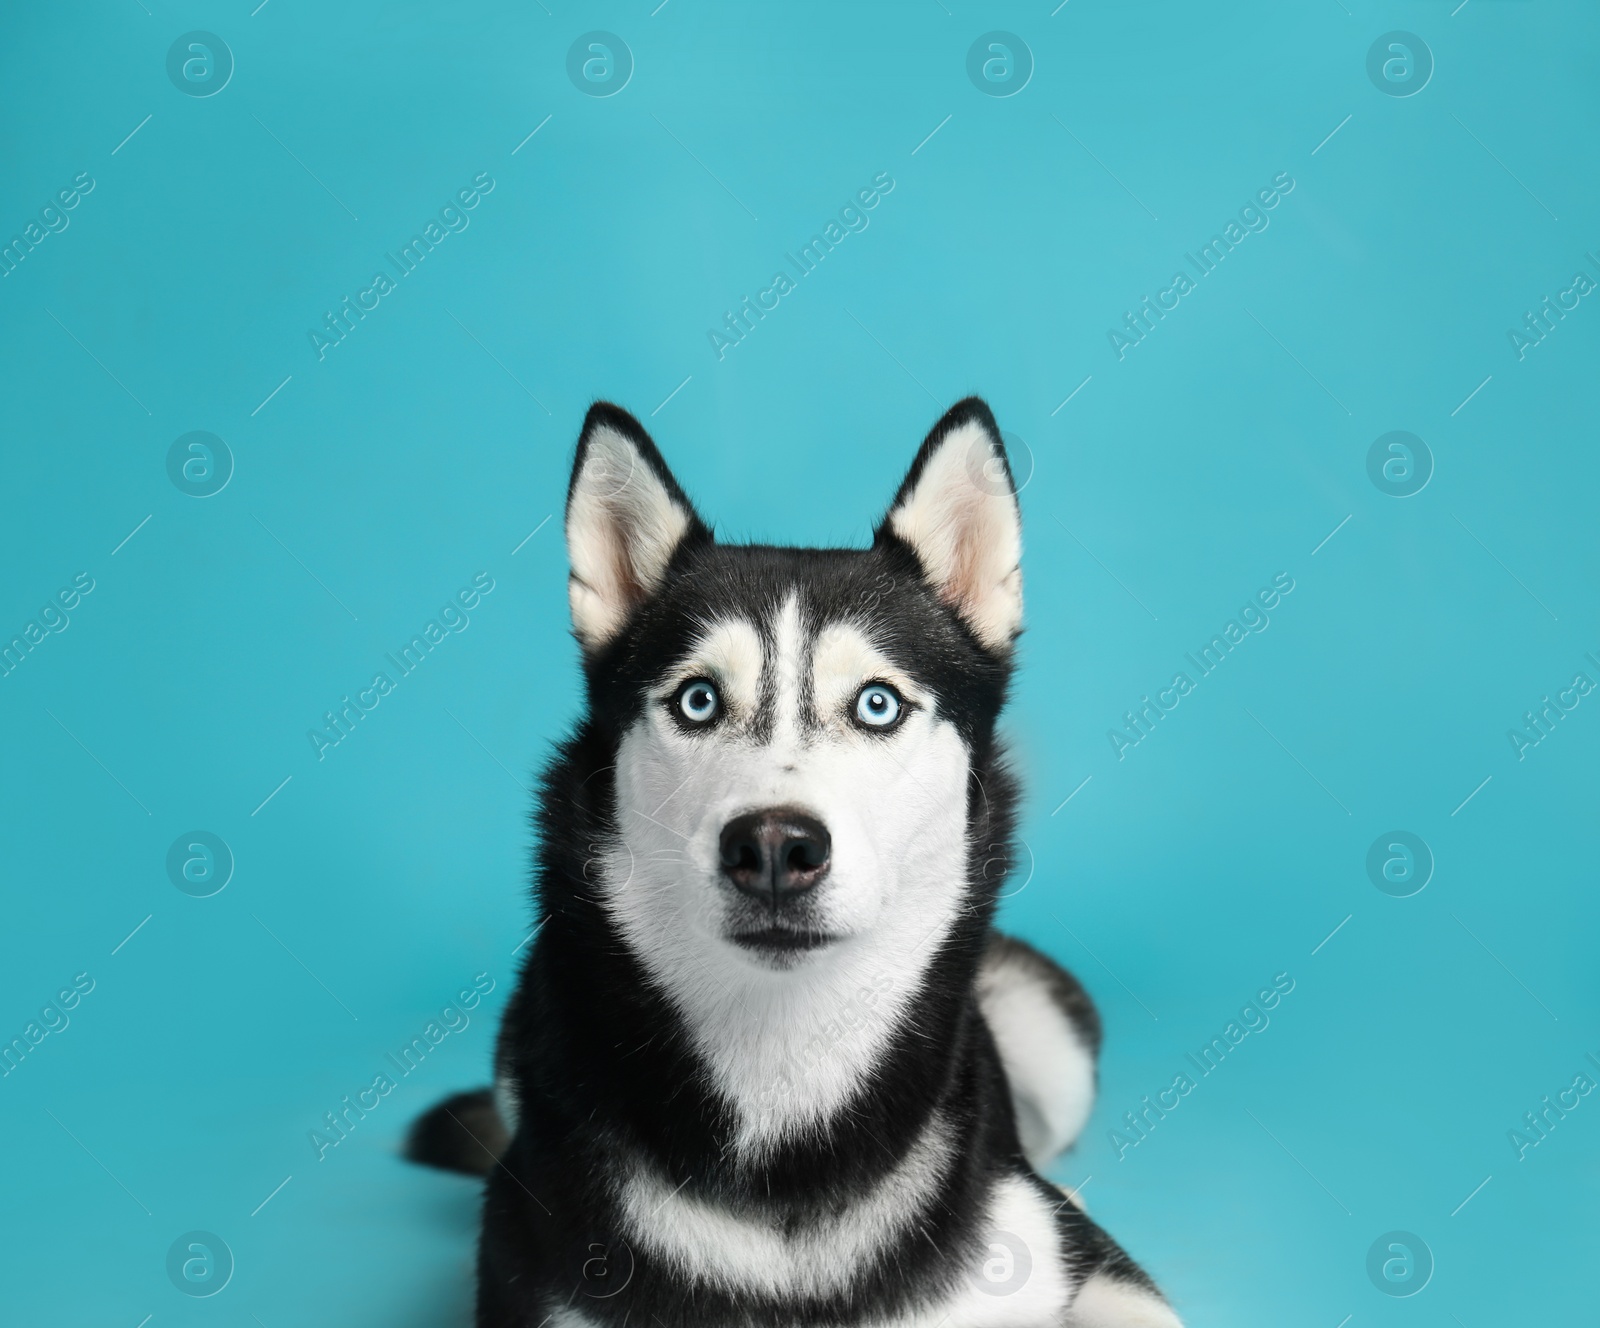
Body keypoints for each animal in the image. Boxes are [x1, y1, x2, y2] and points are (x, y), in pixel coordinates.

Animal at [409, 398, 1190, 1328]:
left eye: (878, 705)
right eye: (697, 701)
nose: (775, 847)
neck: (785, 1077)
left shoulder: (1079, 1257)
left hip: (1048, 1036)